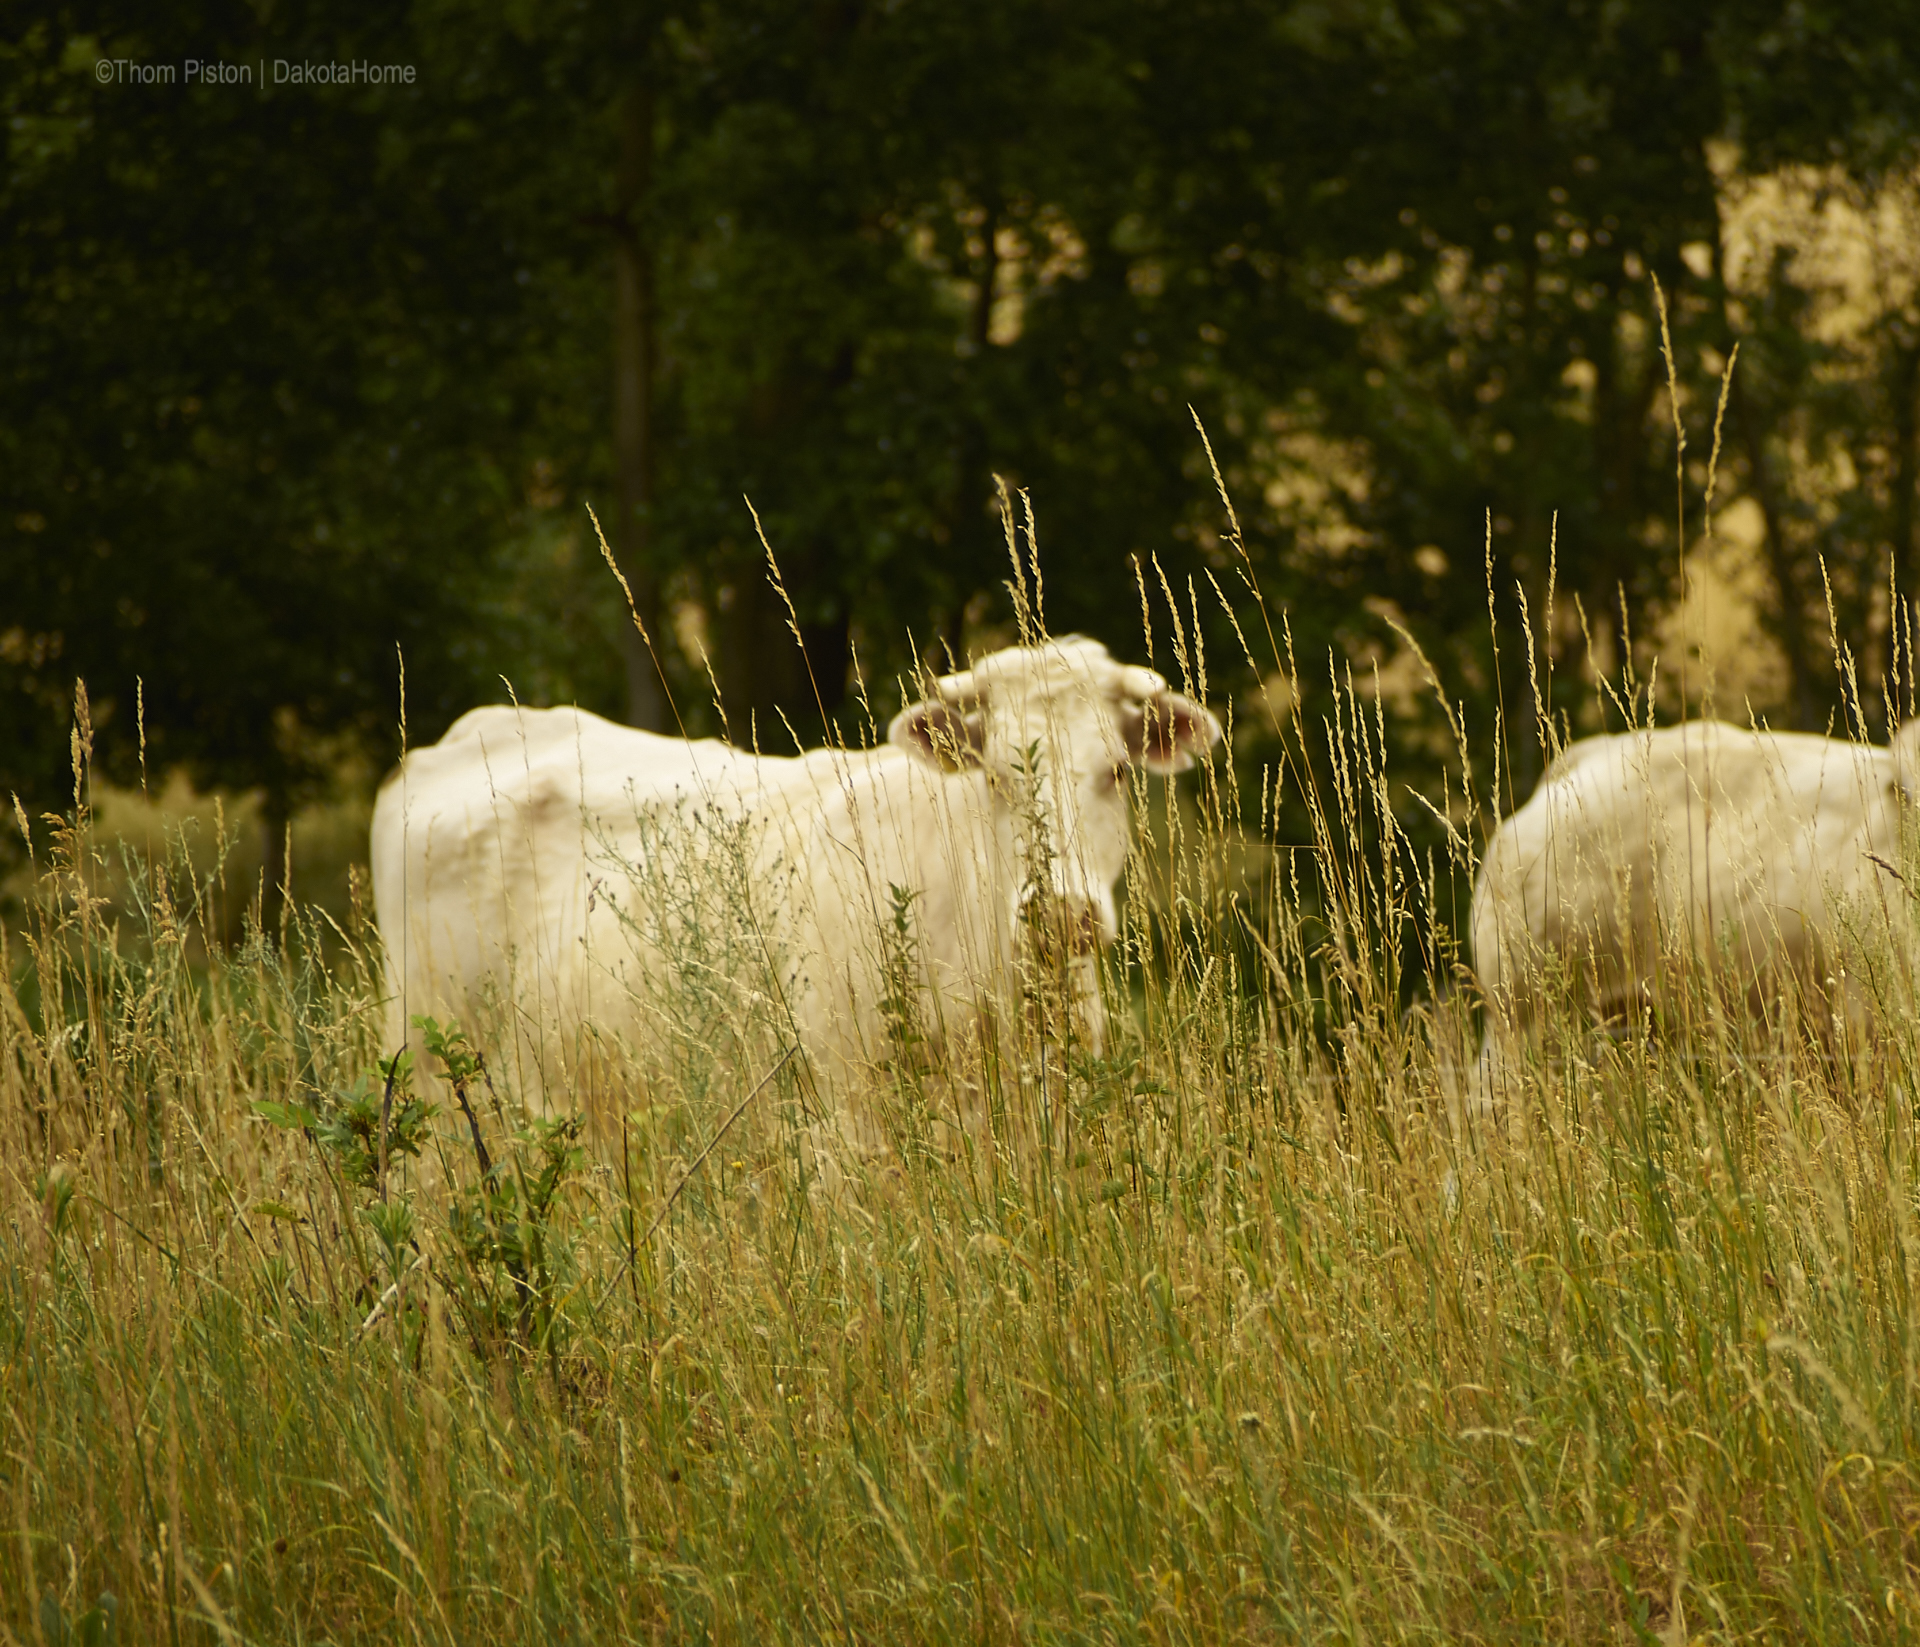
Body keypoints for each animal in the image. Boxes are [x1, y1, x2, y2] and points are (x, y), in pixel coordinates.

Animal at [366, 637, 1221, 1128]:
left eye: (1117, 771)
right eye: (998, 778)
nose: (1061, 911)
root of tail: (471, 732)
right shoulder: (847, 1116)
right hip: (430, 1086)